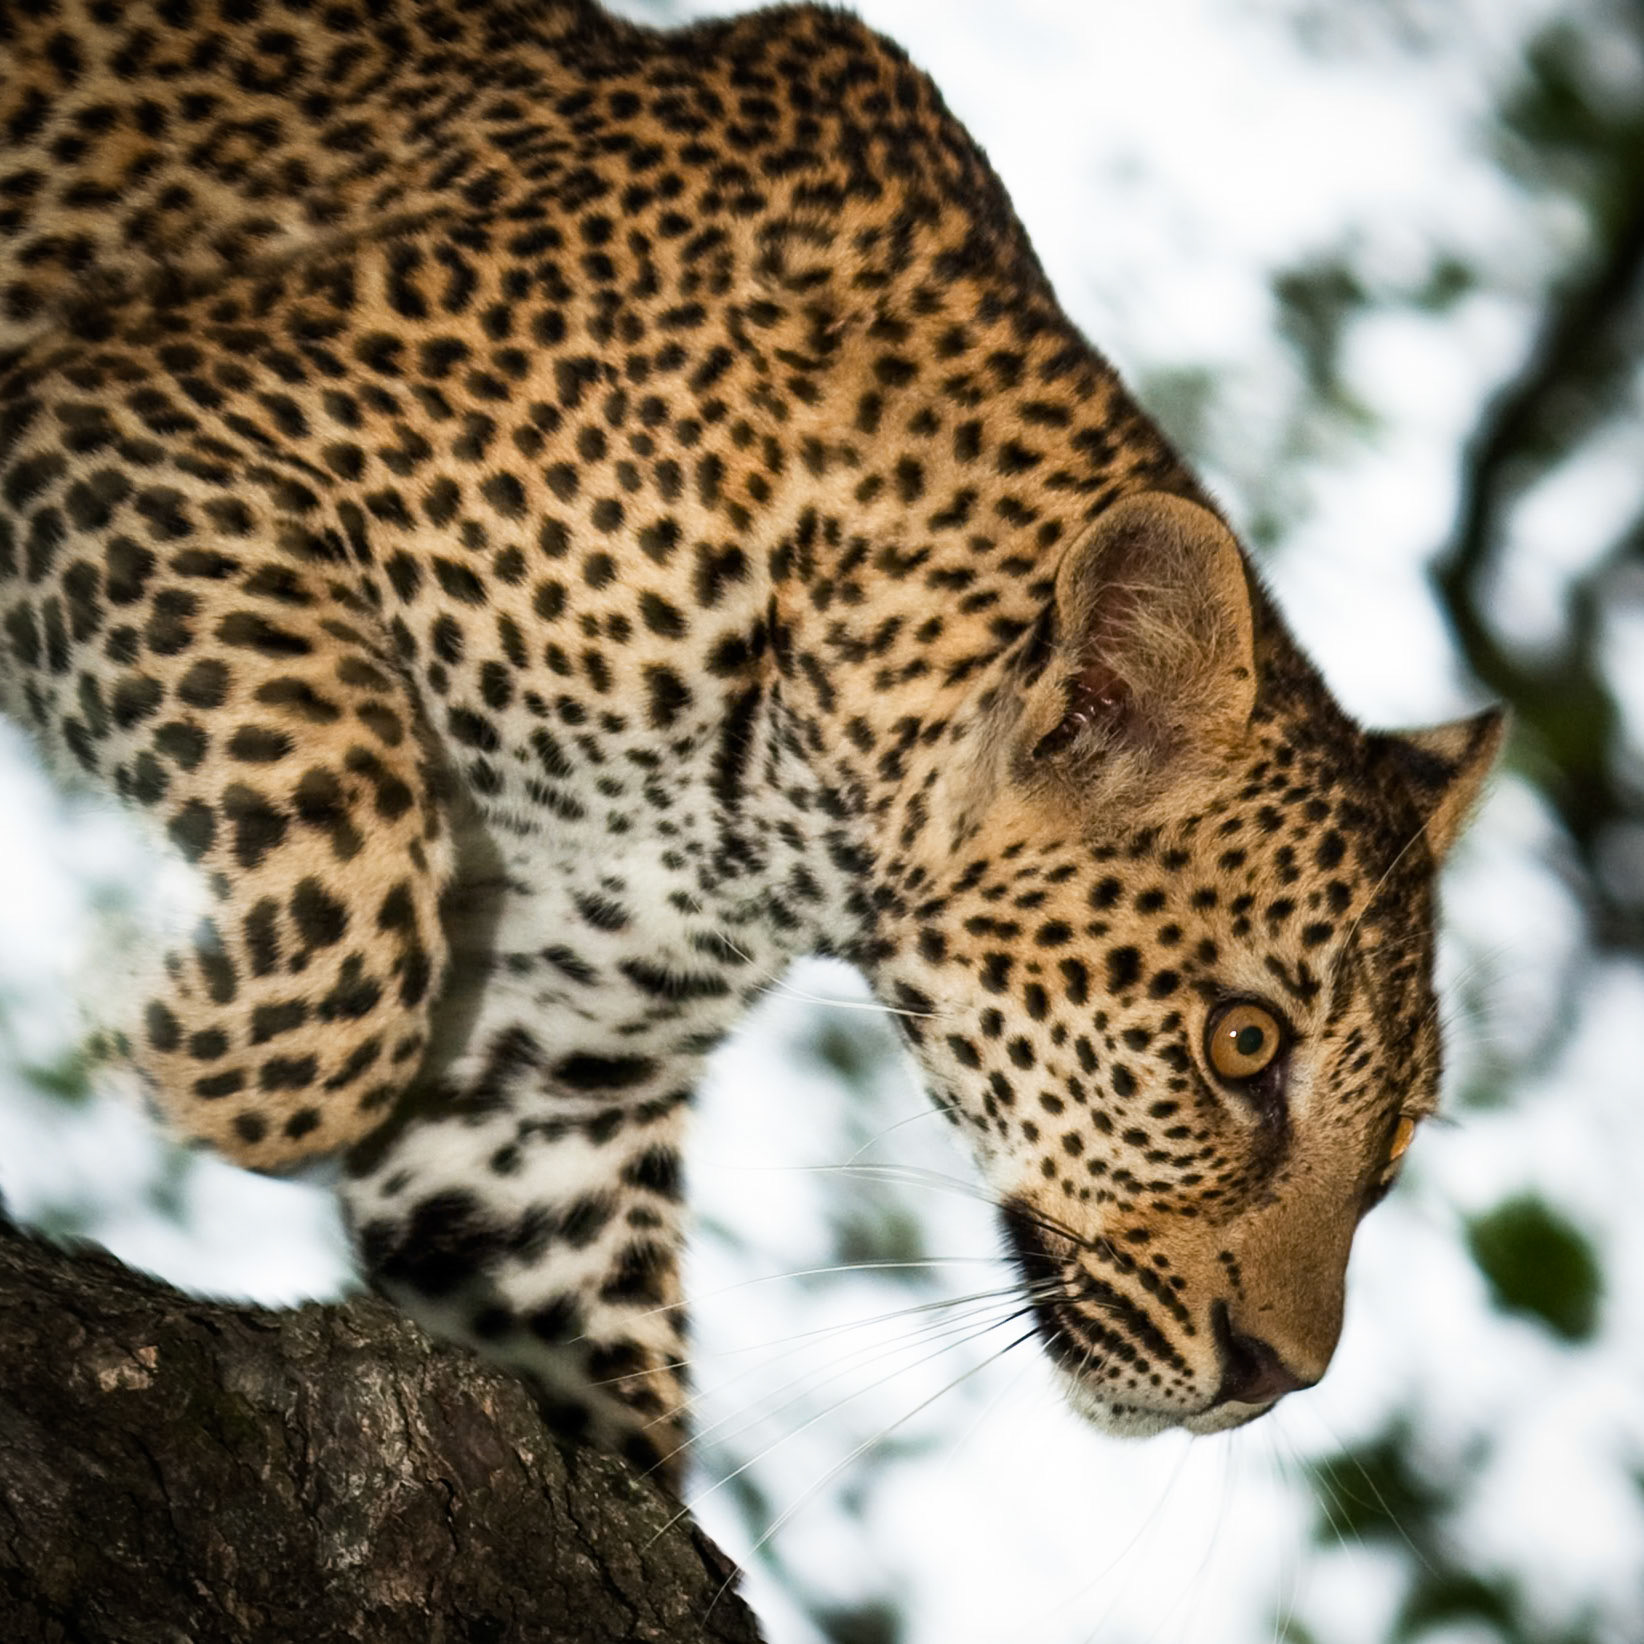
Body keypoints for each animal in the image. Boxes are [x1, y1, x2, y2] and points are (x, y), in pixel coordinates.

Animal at [0, 0, 1502, 1485]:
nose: (1275, 1377)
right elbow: (337, 958)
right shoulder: (130, 426)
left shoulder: (547, 1089)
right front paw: (112, 1001)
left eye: (1394, 1143)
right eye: (1242, 1046)